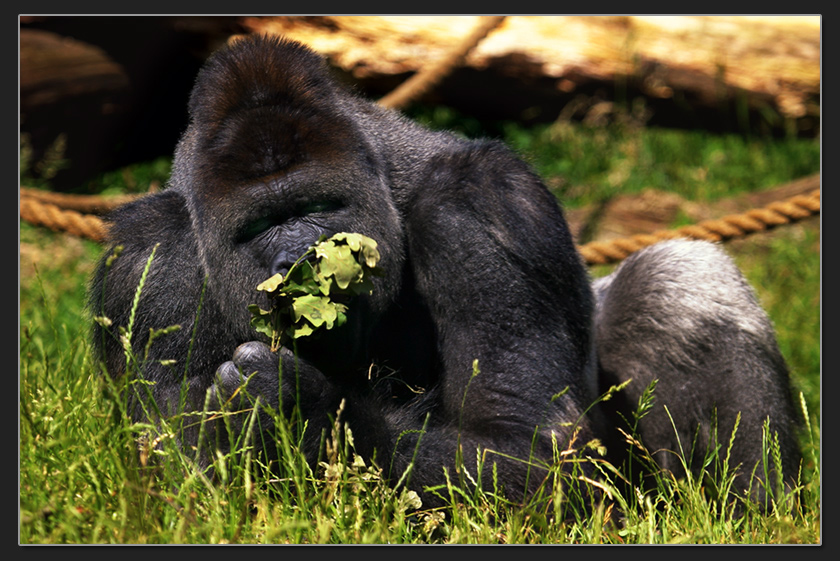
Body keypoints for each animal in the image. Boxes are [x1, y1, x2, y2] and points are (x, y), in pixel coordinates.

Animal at [88, 34, 804, 508]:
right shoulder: (147, 265)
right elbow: (188, 489)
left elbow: (533, 447)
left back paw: (752, 515)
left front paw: (303, 410)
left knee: (679, 283)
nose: (301, 262)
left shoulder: (485, 203)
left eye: (319, 206)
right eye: (261, 224)